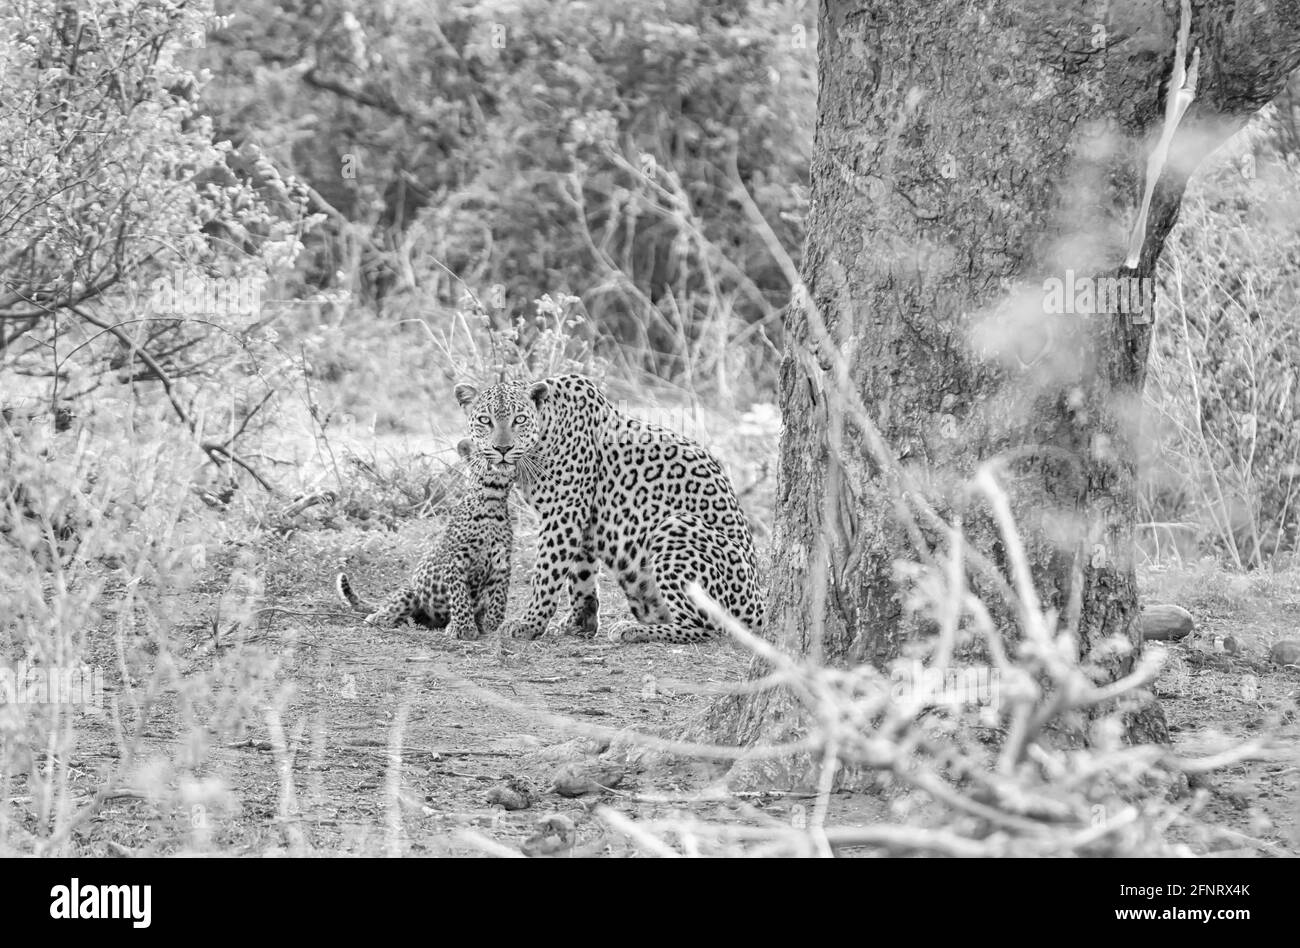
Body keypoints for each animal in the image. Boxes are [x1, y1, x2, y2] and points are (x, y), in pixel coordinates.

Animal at [457, 371, 759, 642]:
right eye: (485, 420)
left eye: (519, 419)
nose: (502, 449)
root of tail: (758, 612)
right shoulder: (581, 518)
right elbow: (580, 574)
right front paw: (580, 623)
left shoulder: (563, 514)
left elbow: (546, 572)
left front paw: (529, 624)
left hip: (675, 526)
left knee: (701, 626)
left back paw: (631, 630)